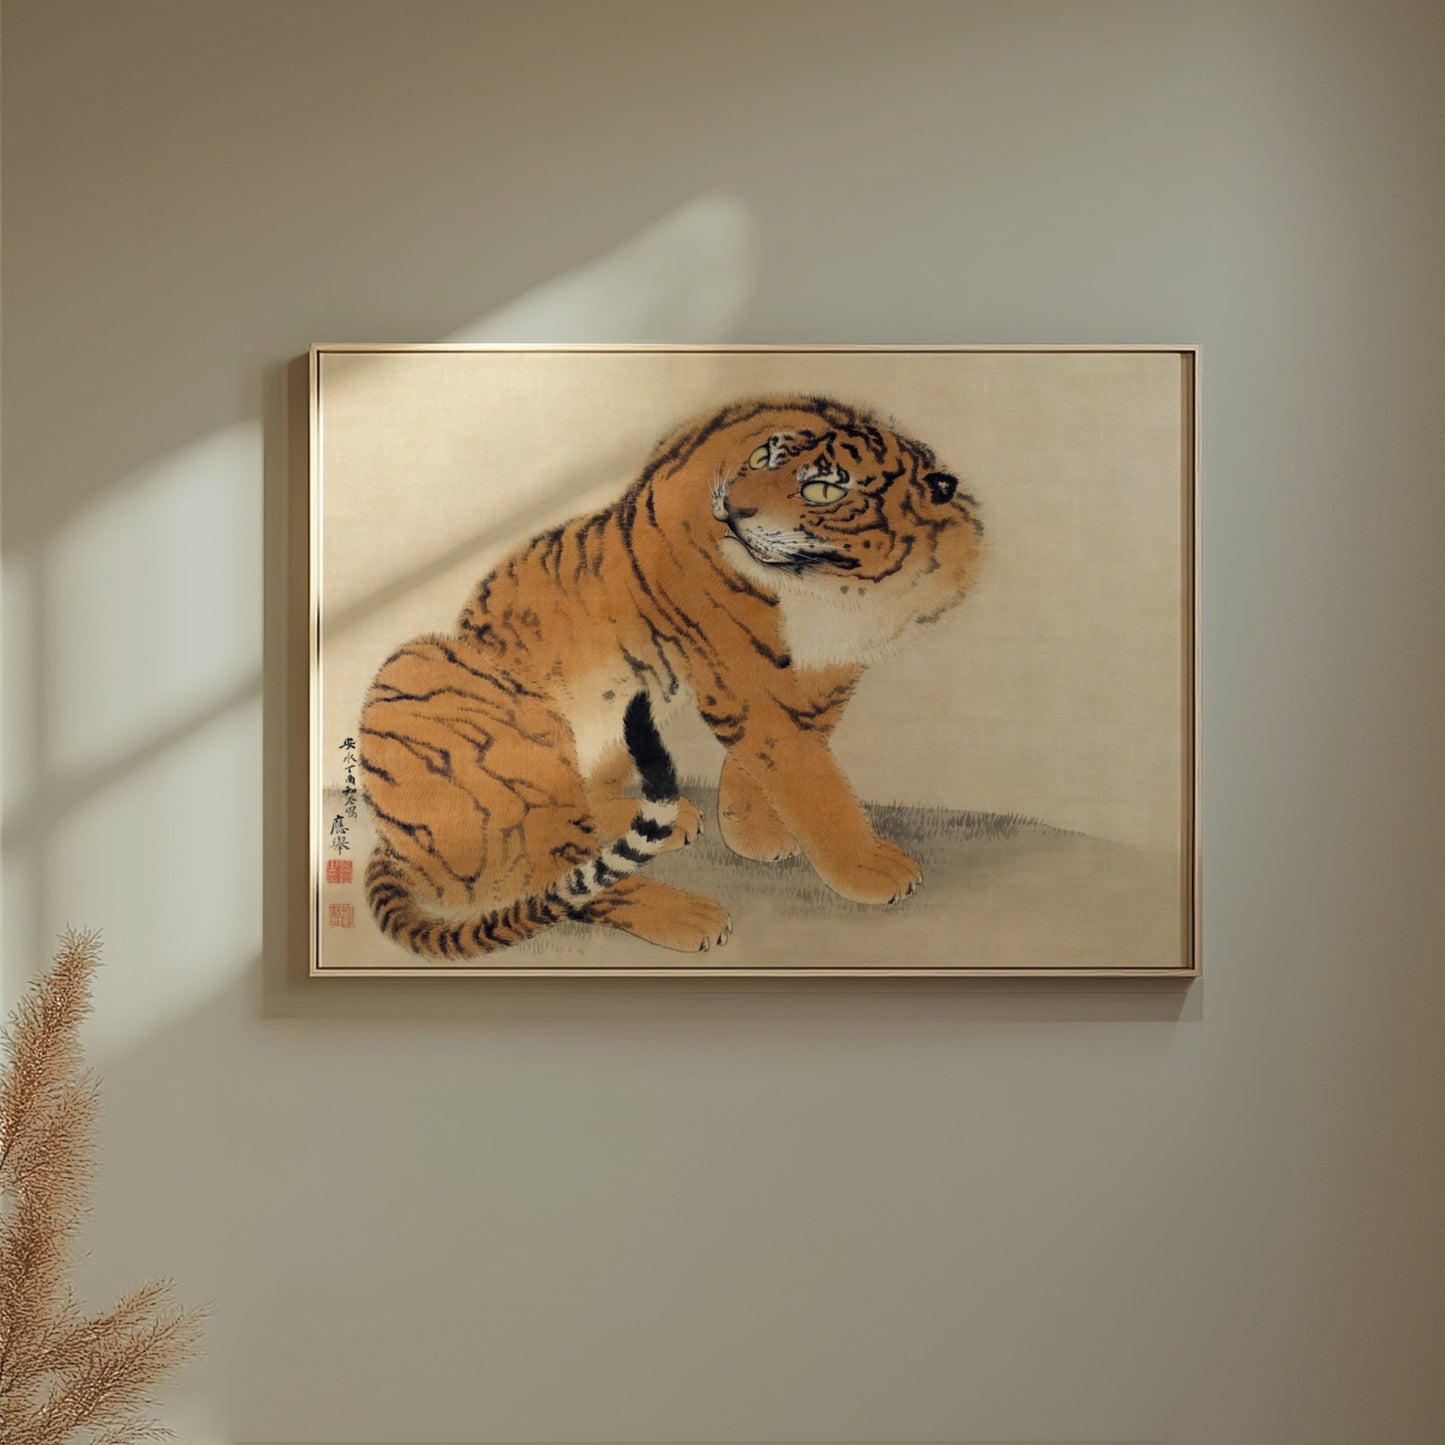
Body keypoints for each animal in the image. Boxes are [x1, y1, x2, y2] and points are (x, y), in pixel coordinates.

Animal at [358, 394, 984, 960]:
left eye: (824, 490)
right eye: (762, 458)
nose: (731, 509)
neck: (840, 590)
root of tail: (392, 842)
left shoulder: (831, 670)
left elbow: (788, 756)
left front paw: (752, 830)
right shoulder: (740, 673)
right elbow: (807, 776)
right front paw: (868, 867)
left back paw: (674, 818)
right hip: (446, 682)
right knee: (558, 878)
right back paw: (690, 916)